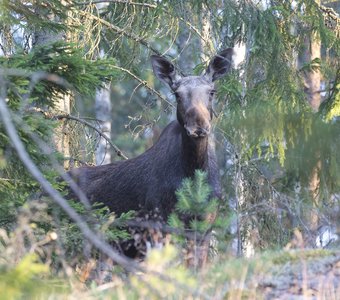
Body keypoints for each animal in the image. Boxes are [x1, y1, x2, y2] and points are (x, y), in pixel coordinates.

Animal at [69, 49, 234, 253]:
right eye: (177, 94)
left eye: (212, 92)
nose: (198, 126)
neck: (193, 174)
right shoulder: (158, 222)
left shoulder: (204, 227)